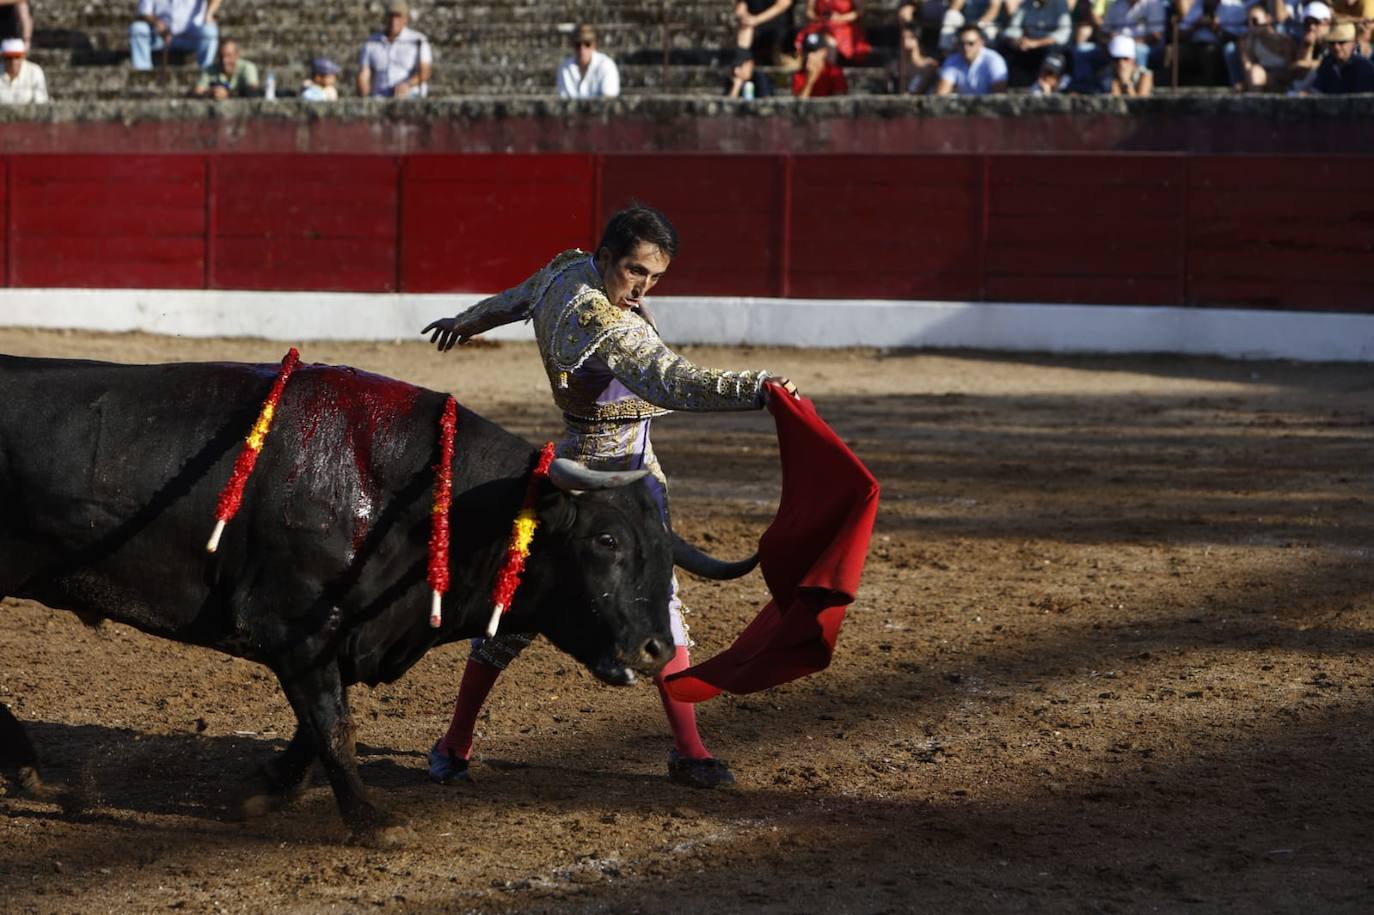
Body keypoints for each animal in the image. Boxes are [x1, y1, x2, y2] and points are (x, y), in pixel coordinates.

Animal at [0, 351, 752, 846]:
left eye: (663, 548)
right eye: (604, 540)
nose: (656, 646)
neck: (424, 501)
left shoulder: (339, 639)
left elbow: (317, 726)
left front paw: (263, 791)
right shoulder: (296, 629)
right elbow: (334, 722)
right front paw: (373, 821)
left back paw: (37, 778)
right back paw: (36, 777)